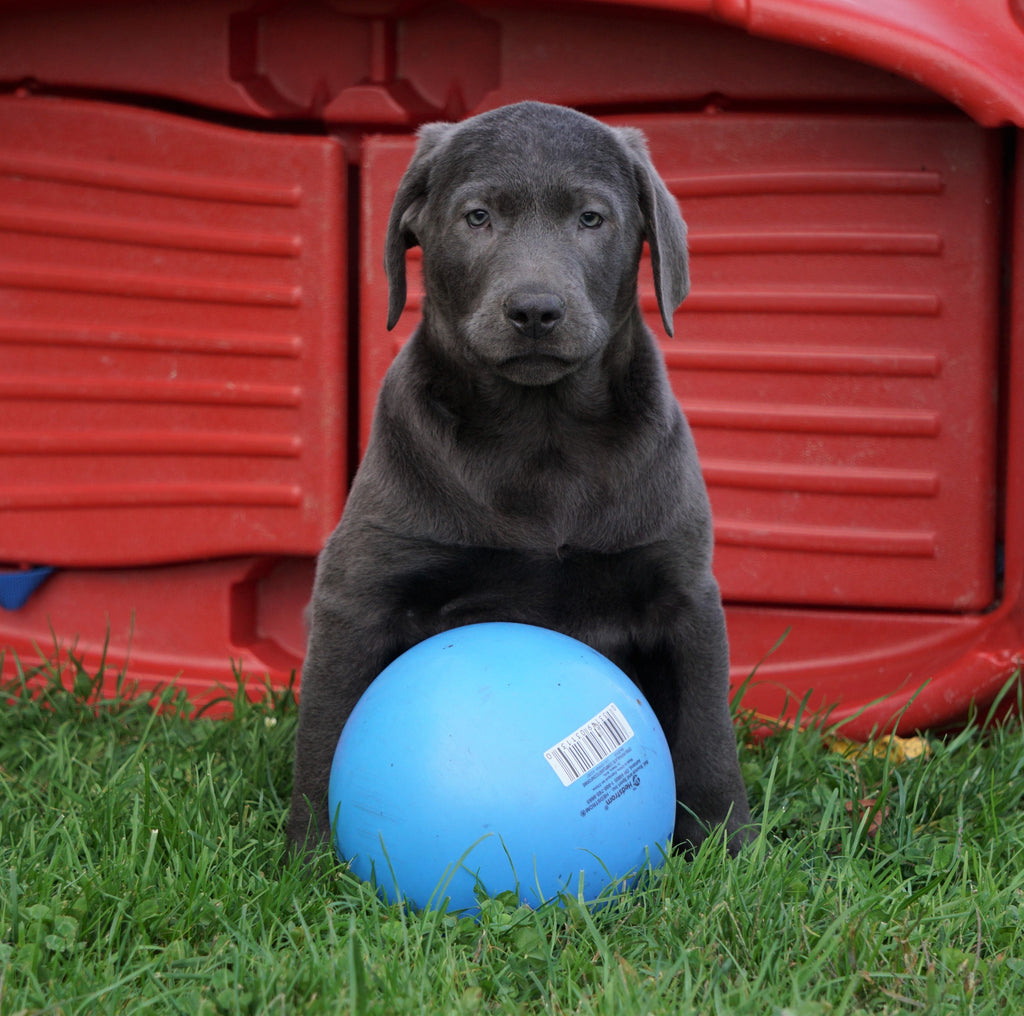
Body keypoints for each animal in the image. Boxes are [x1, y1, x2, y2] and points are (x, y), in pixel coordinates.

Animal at [288, 99, 753, 856]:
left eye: (591, 219)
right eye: (478, 217)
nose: (535, 310)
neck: (543, 434)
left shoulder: (685, 596)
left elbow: (708, 736)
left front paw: (727, 845)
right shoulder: (356, 594)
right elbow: (324, 734)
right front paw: (310, 857)